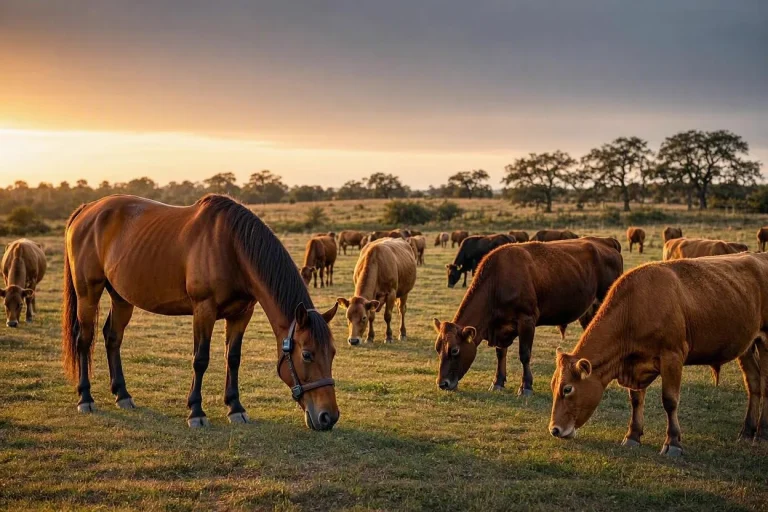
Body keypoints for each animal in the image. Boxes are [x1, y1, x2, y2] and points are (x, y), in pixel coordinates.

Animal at [62, 194, 340, 430]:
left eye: (333, 353)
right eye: (306, 354)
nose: (329, 417)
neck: (231, 246)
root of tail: (86, 210)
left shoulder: (242, 314)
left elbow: (233, 358)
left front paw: (235, 408)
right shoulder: (203, 310)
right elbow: (201, 359)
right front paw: (196, 411)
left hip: (121, 297)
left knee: (113, 338)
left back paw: (122, 395)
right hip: (88, 293)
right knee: (84, 340)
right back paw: (85, 398)